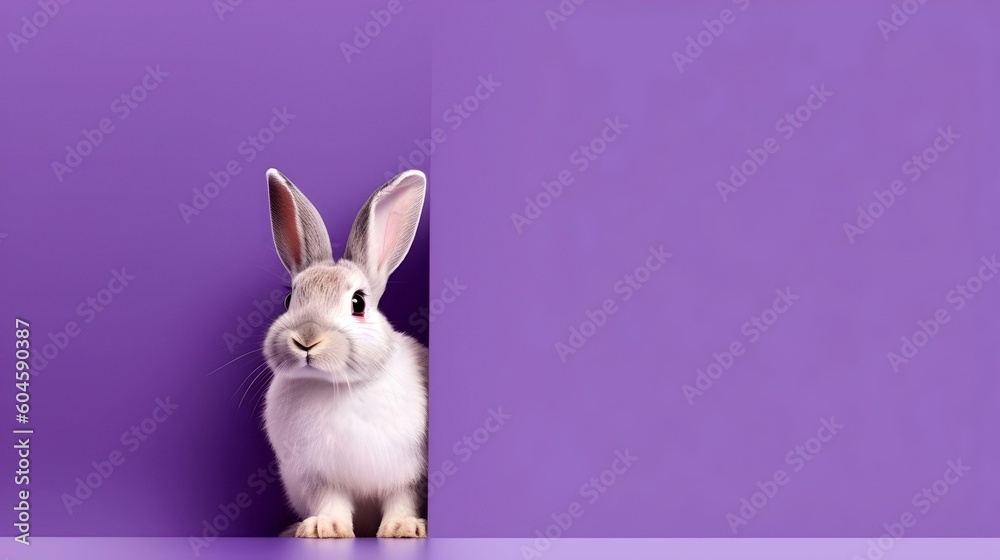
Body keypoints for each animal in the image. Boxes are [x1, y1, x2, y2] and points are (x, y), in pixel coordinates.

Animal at [261, 168, 428, 538]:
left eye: (358, 303)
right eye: (289, 300)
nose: (307, 339)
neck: (337, 385)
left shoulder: (408, 473)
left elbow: (401, 497)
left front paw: (402, 528)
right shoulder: (320, 476)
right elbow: (332, 501)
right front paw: (324, 528)